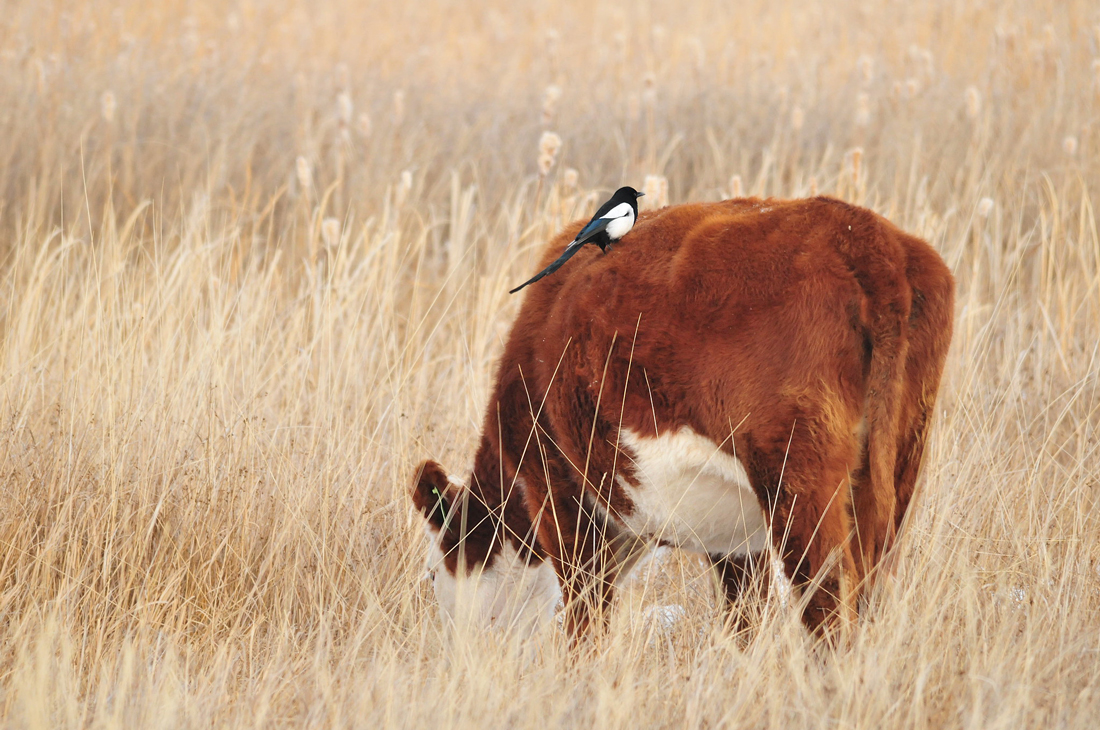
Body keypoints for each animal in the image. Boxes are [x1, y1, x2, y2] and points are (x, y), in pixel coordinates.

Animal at [409, 196, 950, 637]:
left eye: (434, 571)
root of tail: (865, 240)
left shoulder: (561, 493)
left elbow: (587, 617)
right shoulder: (737, 541)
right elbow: (746, 619)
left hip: (798, 474)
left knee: (829, 597)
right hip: (900, 462)